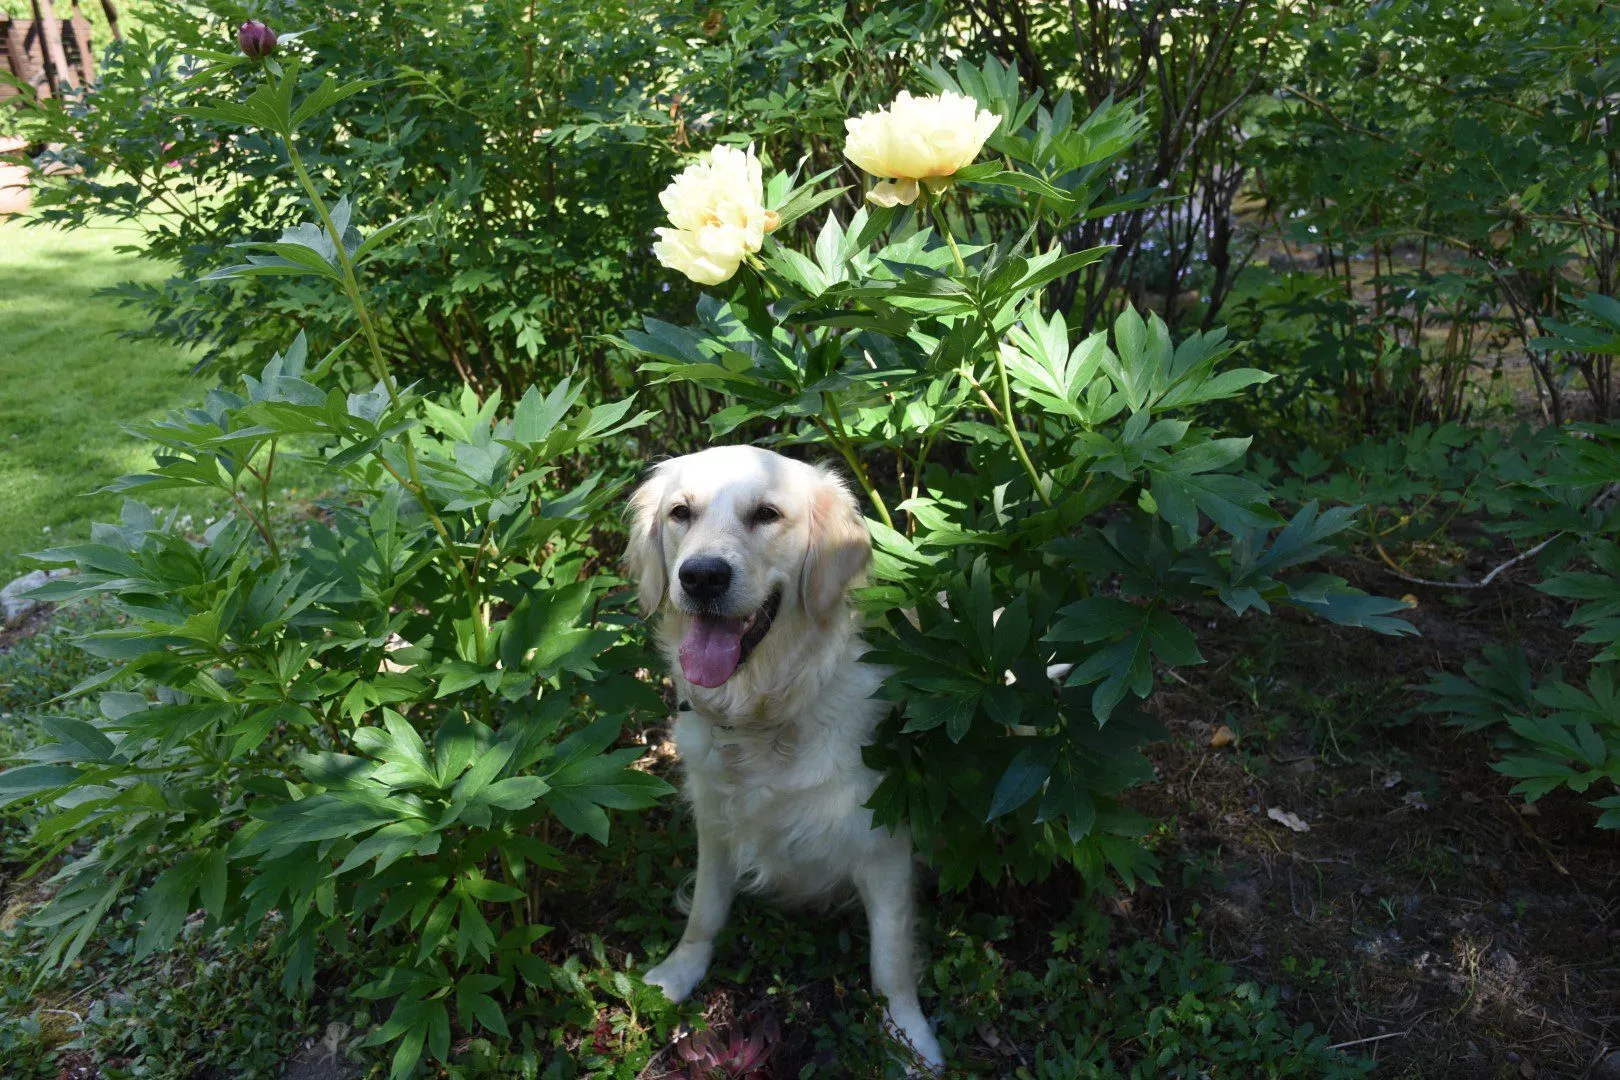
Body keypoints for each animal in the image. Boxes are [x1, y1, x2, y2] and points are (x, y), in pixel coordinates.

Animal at [625, 445, 944, 1070]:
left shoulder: (884, 843)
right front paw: (678, 972)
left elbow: (890, 963)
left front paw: (910, 1040)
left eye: (766, 514)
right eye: (680, 512)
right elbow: (705, 911)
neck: (766, 714)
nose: (701, 576)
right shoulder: (716, 822)